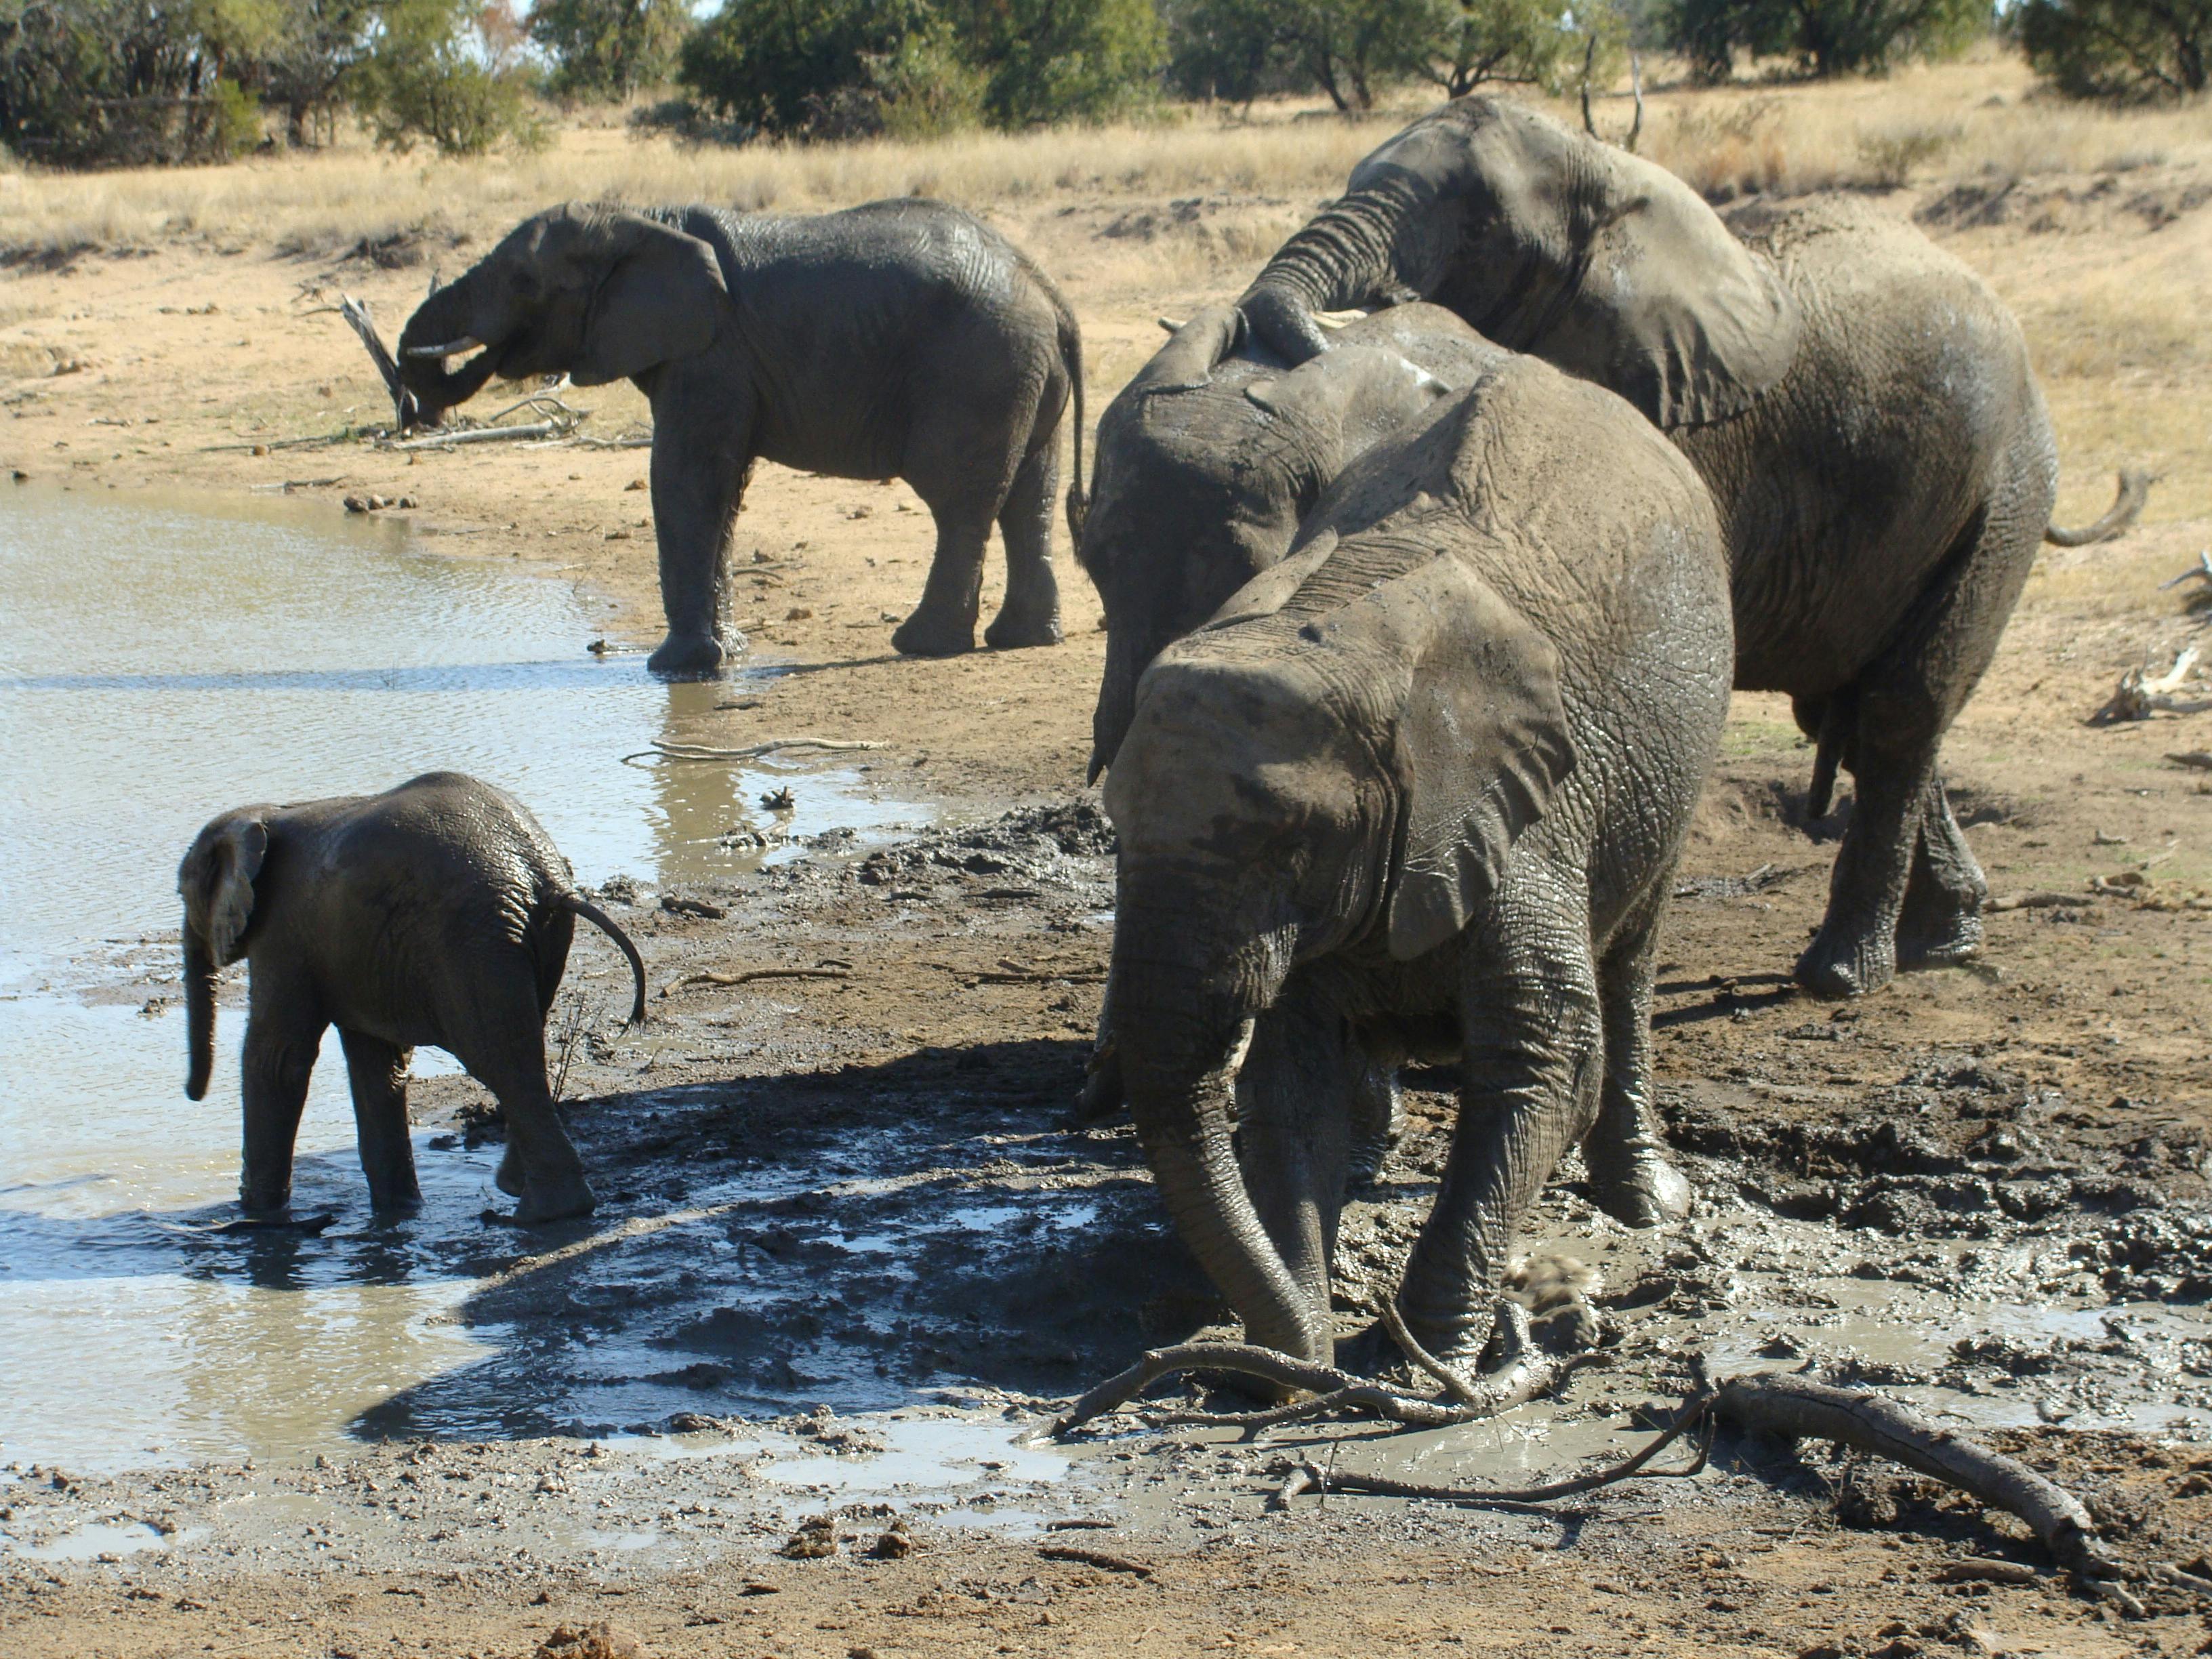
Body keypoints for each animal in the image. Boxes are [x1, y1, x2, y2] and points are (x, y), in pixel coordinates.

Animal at [177, 774, 646, 1229]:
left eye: (182, 893)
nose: (191, 1095)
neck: (267, 812)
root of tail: (548, 878)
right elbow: (377, 1066)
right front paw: (398, 1211)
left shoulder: (282, 933)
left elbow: (278, 1060)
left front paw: (256, 1216)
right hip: (527, 938)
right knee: (524, 1046)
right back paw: (520, 1192)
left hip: (470, 942)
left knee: (499, 1059)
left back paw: (541, 1213)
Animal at [405, 200, 1088, 676]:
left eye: (523, 280)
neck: (637, 219)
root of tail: (1051, 293)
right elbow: (723, 489)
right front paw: (728, 655)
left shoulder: (710, 354)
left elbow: (686, 479)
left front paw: (675, 669)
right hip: (1021, 372)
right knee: (1029, 497)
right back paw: (1020, 639)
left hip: (977, 370)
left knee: (960, 503)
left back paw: (921, 646)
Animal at [1101, 345, 1725, 1371]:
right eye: (1114, 833)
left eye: (1290, 845)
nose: (1289, 1361)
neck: (1335, 634)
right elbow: (1292, 1080)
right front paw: (1298, 1338)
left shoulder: (1529, 813)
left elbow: (1548, 1058)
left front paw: (1423, 1358)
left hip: (1674, 769)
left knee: (1632, 960)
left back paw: (1644, 1205)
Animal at [1229, 100, 2141, 1000]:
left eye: (1483, 228)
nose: (1361, 317)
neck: (1610, 173)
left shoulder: (1680, 424)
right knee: (1855, 711)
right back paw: (1944, 937)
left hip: (2004, 492)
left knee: (1901, 709)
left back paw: (1845, 972)